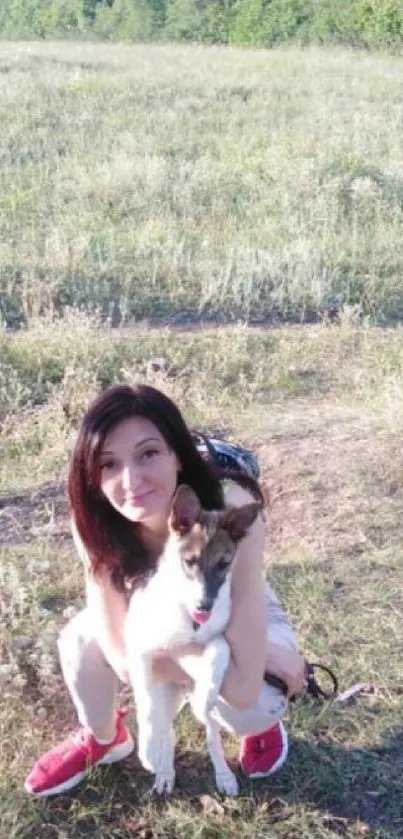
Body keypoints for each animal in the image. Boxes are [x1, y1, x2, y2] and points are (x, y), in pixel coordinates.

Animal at [124, 482, 260, 796]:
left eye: (224, 564)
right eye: (190, 561)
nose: (204, 606)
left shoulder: (216, 639)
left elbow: (219, 653)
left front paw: (206, 693)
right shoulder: (140, 649)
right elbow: (146, 704)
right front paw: (149, 750)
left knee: (210, 734)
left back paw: (223, 774)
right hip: (165, 693)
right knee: (167, 729)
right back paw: (164, 770)